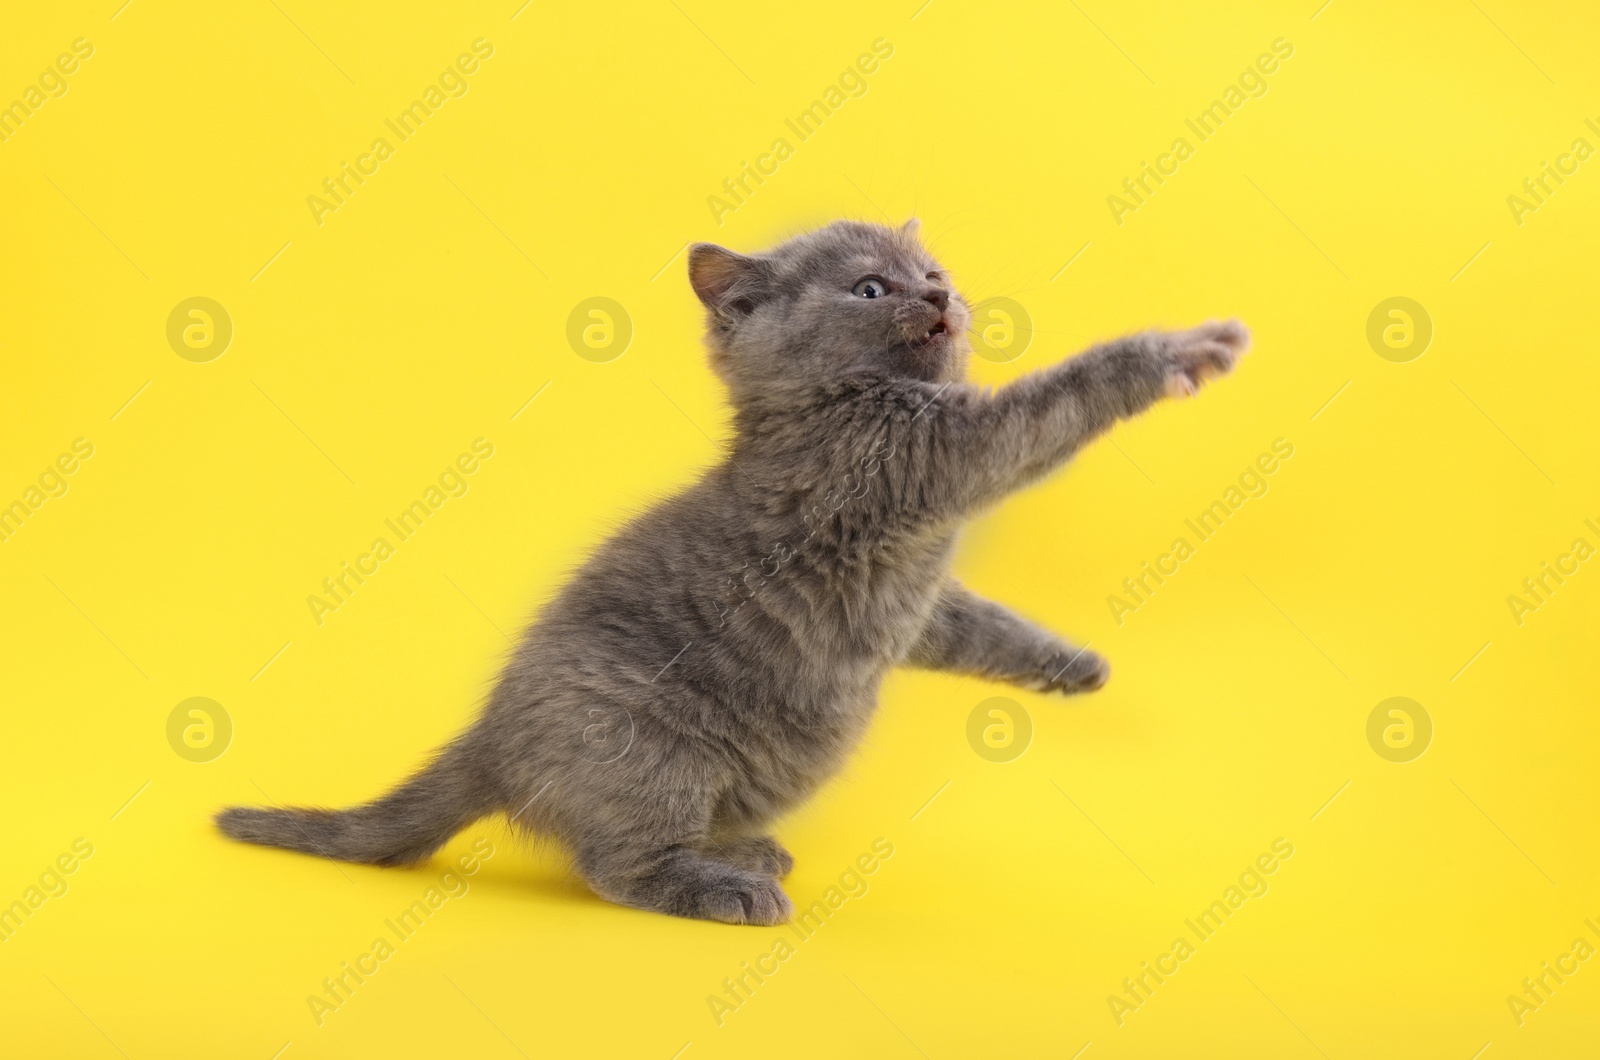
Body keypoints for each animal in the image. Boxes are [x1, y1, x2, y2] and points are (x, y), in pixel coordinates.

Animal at [222, 219, 1248, 928]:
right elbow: (1054, 403)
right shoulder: (931, 457)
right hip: (644, 749)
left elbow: (981, 622)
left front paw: (1068, 666)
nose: (939, 299)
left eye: (934, 275)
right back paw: (722, 888)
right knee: (615, 866)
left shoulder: (922, 600)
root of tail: (491, 741)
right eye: (870, 288)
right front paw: (1180, 352)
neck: (832, 407)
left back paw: (743, 854)